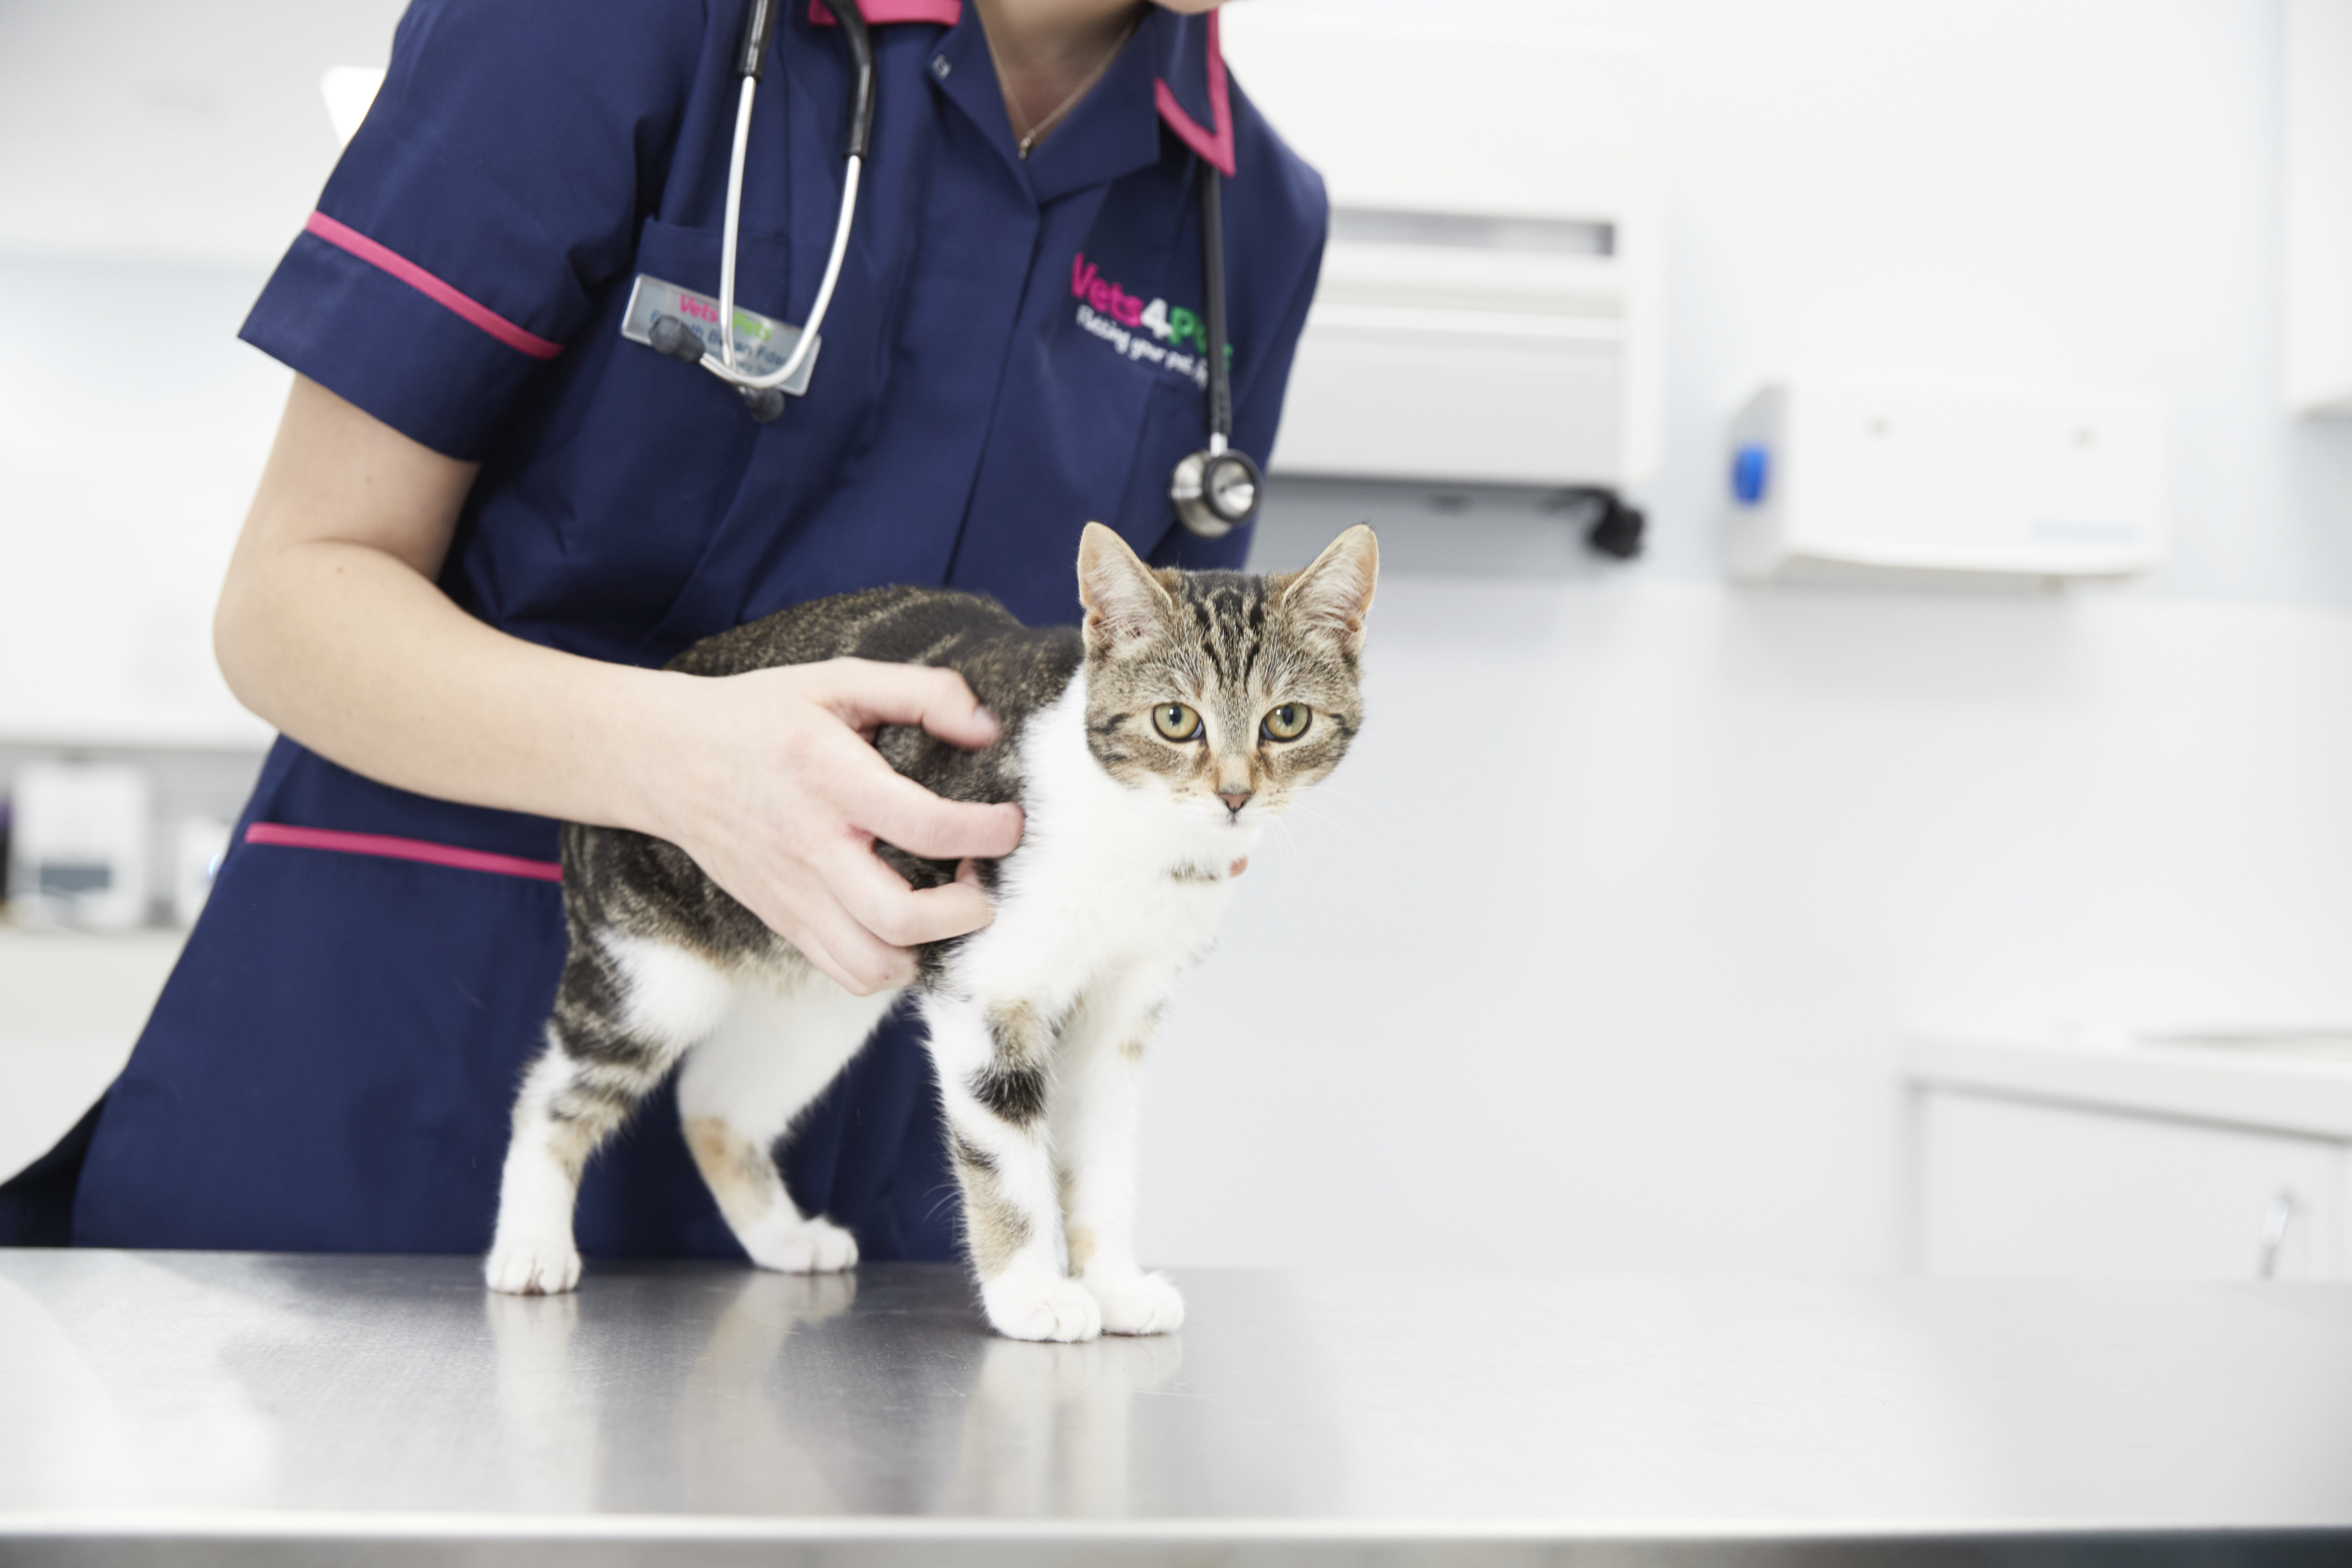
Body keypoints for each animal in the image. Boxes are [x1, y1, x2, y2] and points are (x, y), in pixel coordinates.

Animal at [491, 522, 1373, 1344]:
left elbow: (1104, 1152)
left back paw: (782, 1237)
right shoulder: (986, 988)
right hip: (652, 973)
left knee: (713, 1101)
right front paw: (1034, 1293)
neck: (1139, 834)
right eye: (1176, 719)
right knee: (556, 1091)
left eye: (1287, 720)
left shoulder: (1124, 1006)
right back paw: (530, 1246)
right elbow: (1005, 1154)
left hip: (822, 993)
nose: (1234, 795)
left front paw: (1115, 1284)